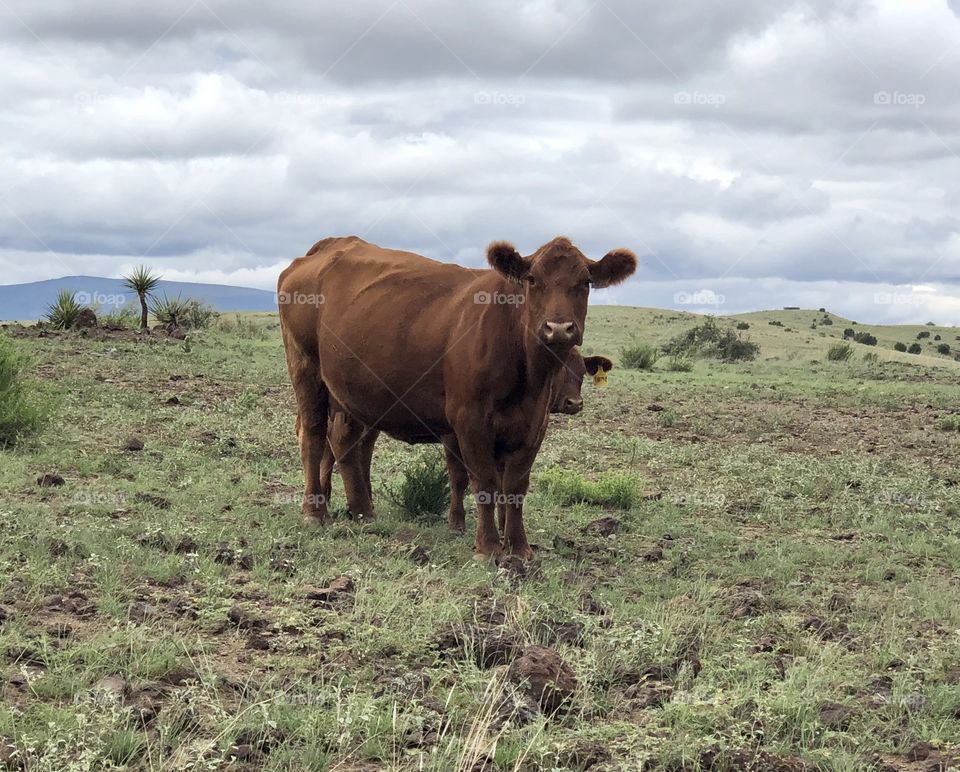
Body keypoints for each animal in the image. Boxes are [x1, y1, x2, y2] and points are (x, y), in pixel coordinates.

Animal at [282, 235, 632, 556]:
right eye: (533, 279)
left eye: (585, 282)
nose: (558, 328)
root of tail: (329, 246)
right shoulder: (469, 423)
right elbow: (483, 482)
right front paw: (487, 547)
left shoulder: (533, 427)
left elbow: (514, 487)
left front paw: (518, 549)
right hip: (307, 370)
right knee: (314, 436)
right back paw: (315, 512)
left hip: (351, 392)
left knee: (344, 442)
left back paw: (362, 512)